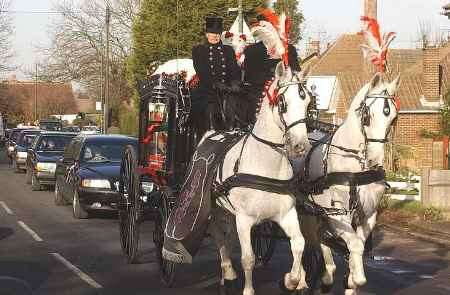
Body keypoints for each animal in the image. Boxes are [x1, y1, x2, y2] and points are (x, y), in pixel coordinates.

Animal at [201, 60, 312, 295]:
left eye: (307, 101)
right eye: (282, 102)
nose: (301, 146)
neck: (267, 166)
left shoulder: (286, 214)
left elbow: (299, 243)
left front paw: (292, 280)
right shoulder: (244, 219)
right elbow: (248, 258)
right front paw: (248, 289)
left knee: (227, 236)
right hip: (213, 208)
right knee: (218, 235)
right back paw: (227, 270)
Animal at [298, 72, 400, 295]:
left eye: (394, 118)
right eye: (367, 116)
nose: (375, 160)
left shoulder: (368, 215)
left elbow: (357, 245)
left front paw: (351, 280)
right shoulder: (337, 214)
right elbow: (355, 244)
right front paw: (356, 278)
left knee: (319, 238)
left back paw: (326, 276)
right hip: (308, 213)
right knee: (307, 239)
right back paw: (302, 279)